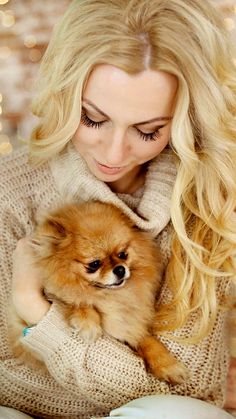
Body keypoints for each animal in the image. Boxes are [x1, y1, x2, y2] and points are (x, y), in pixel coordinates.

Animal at [9, 202, 188, 386]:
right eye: (94, 264)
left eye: (123, 254)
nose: (120, 269)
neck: (107, 296)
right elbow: (76, 300)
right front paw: (87, 323)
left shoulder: (130, 325)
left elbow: (148, 341)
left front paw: (168, 365)